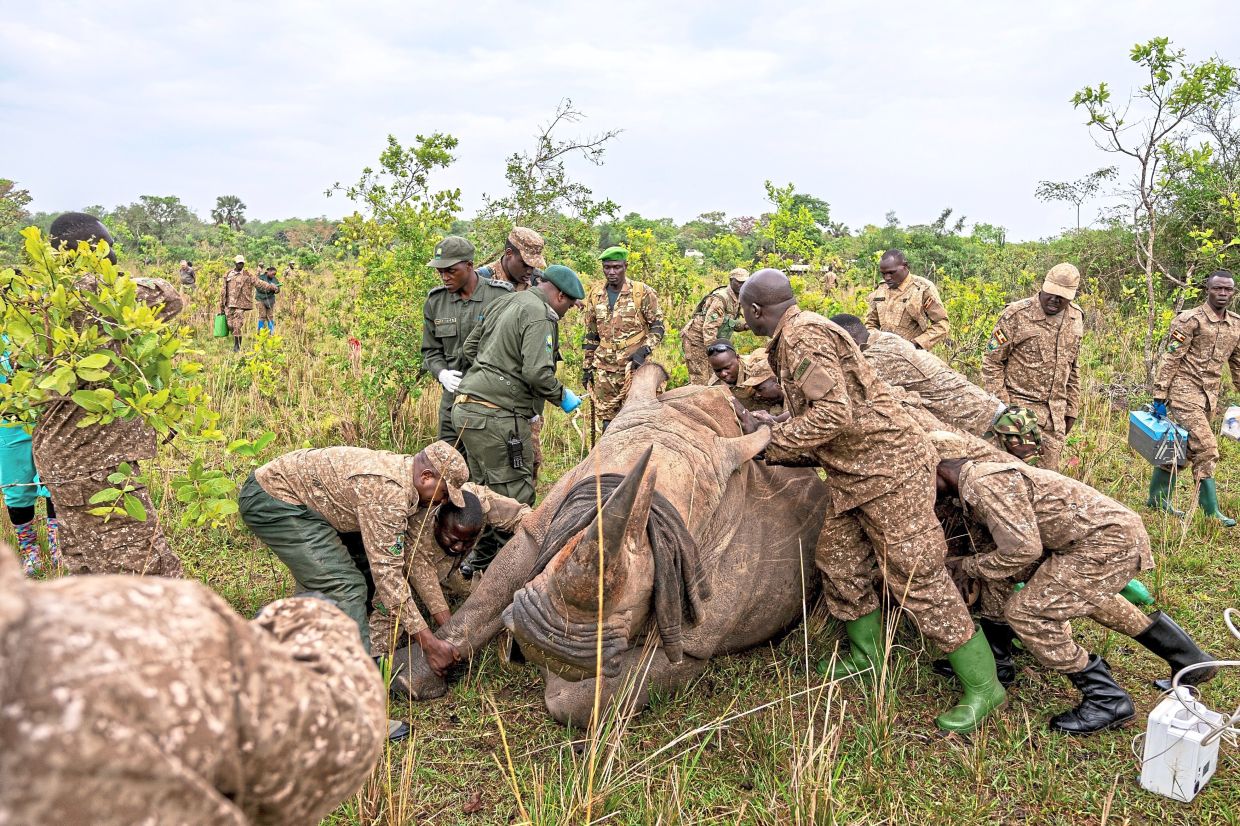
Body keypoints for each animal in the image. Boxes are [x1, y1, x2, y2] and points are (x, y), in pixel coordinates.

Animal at [393, 364, 828, 725]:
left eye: (647, 588)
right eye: (576, 517)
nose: (548, 643)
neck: (690, 419)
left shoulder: (696, 634)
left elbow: (579, 700)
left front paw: (562, 677)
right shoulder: (542, 526)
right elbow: (486, 598)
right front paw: (410, 675)